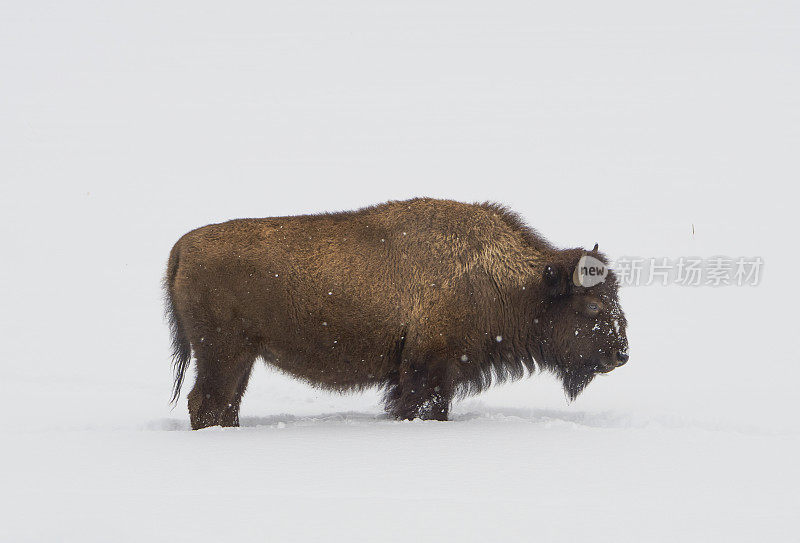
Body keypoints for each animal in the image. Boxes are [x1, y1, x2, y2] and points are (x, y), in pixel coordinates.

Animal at [166, 198, 628, 432]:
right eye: (593, 305)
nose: (621, 354)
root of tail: (184, 247)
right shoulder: (430, 367)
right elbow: (424, 405)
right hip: (223, 353)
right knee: (207, 401)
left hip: (241, 357)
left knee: (224, 402)